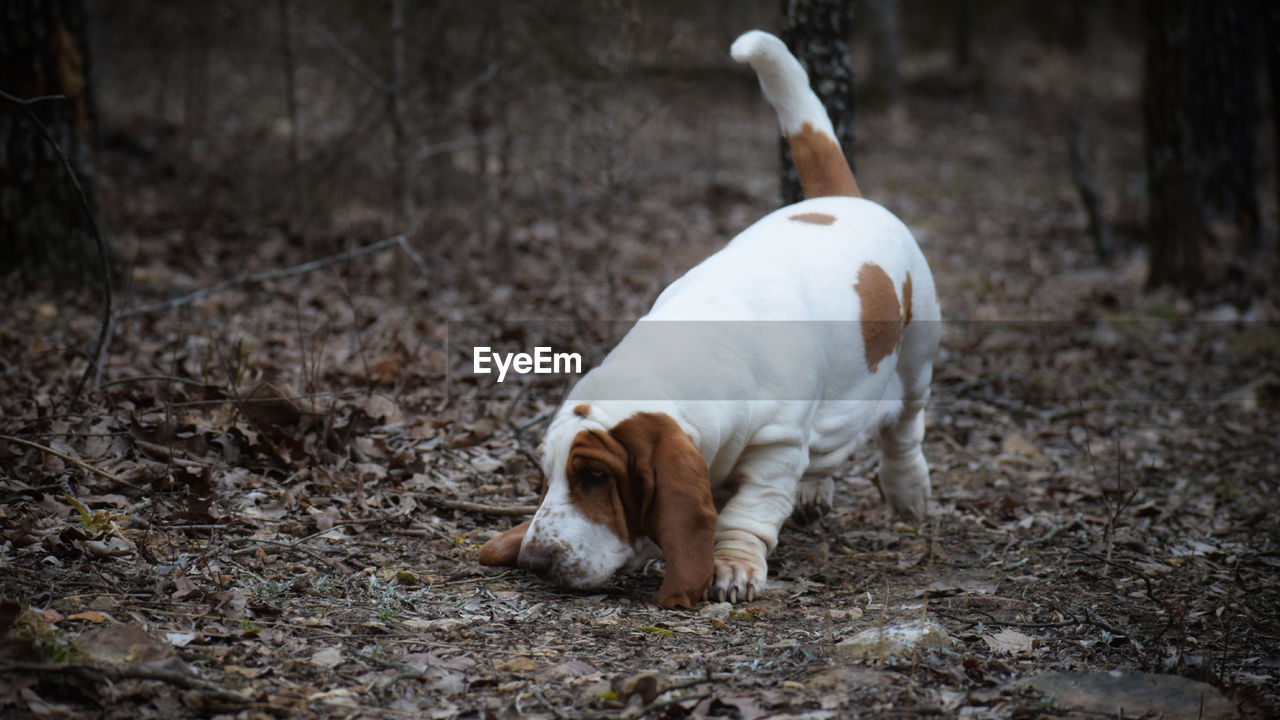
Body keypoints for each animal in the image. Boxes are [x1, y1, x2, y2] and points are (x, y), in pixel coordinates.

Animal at [481, 30, 942, 607]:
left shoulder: (776, 448)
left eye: (594, 476)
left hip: (919, 349)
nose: (535, 561)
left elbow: (748, 512)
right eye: (547, 474)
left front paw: (733, 569)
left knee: (905, 424)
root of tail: (842, 198)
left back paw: (908, 491)